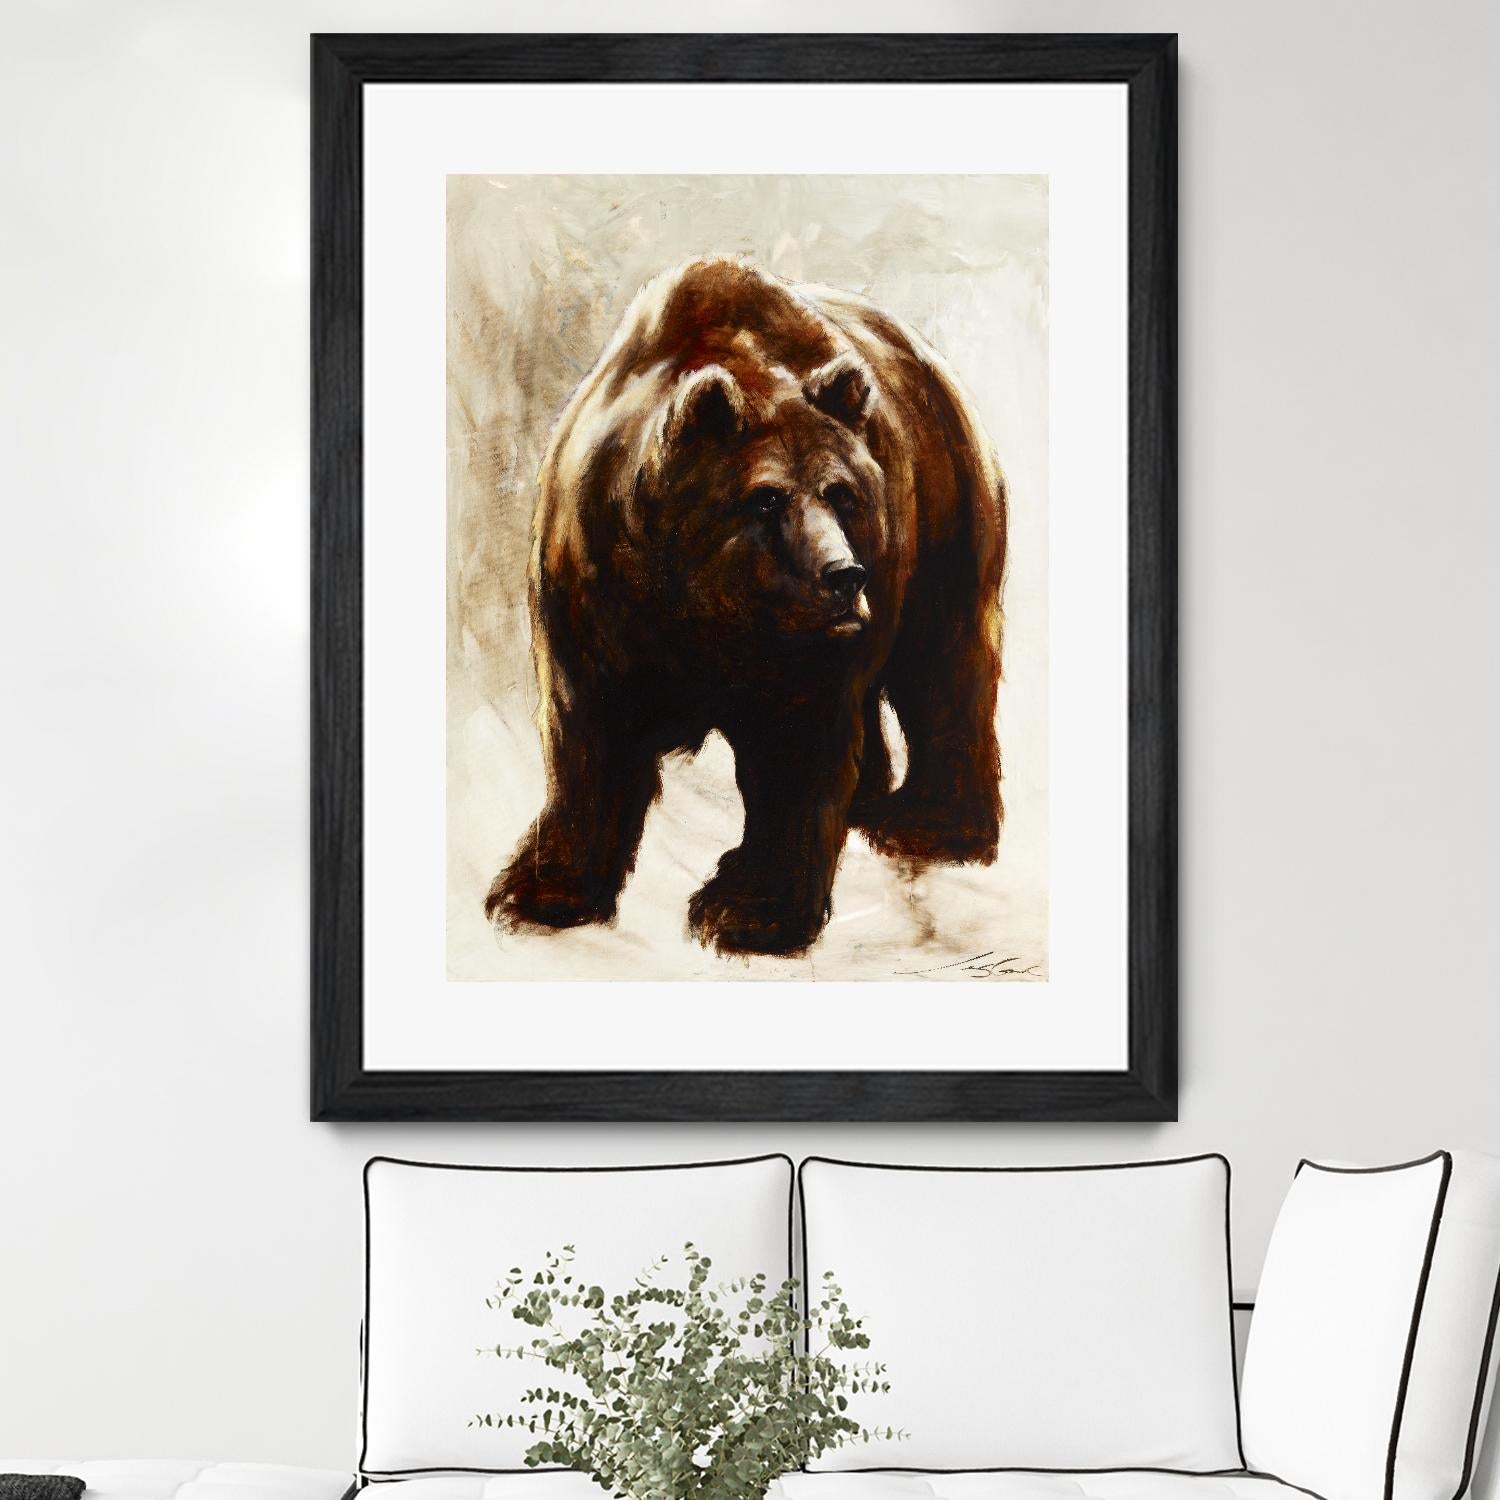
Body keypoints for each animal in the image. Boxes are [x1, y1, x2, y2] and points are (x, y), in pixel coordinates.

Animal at [485, 255, 1007, 957]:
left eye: (841, 493)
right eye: (765, 498)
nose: (844, 575)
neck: (701, 609)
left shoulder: (799, 647)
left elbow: (796, 747)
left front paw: (746, 909)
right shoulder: (596, 598)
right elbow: (590, 736)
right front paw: (540, 890)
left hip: (944, 508)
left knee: (943, 659)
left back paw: (929, 823)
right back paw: (870, 803)